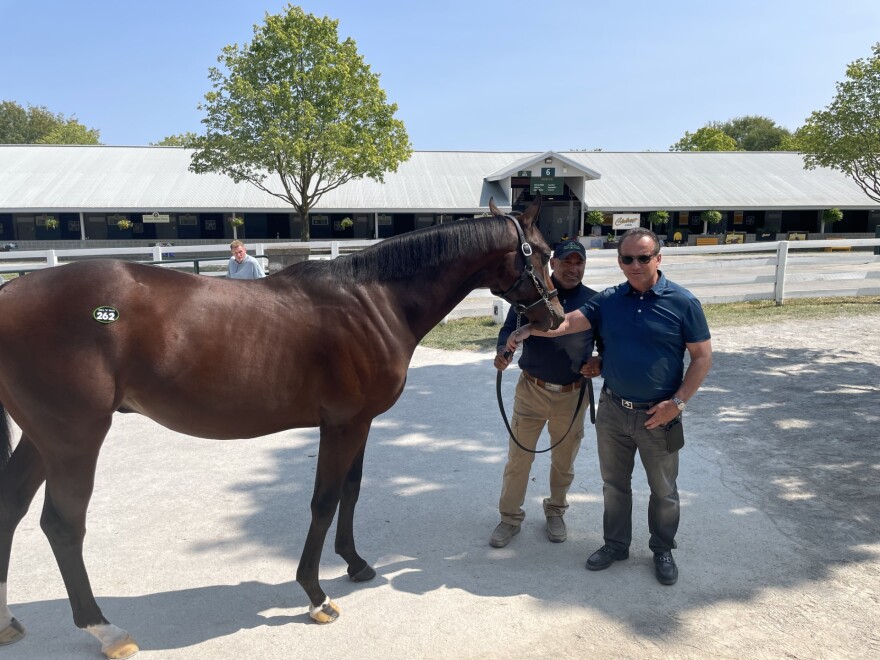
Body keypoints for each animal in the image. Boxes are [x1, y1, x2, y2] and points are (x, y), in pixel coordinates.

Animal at [0, 193, 564, 656]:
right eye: (540, 253)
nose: (556, 317)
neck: (374, 301)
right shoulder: (341, 425)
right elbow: (324, 500)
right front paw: (316, 595)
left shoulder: (359, 424)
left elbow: (351, 491)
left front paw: (355, 564)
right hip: (73, 439)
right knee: (62, 525)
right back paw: (105, 630)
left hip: (41, 439)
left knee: (11, 510)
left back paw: (9, 622)